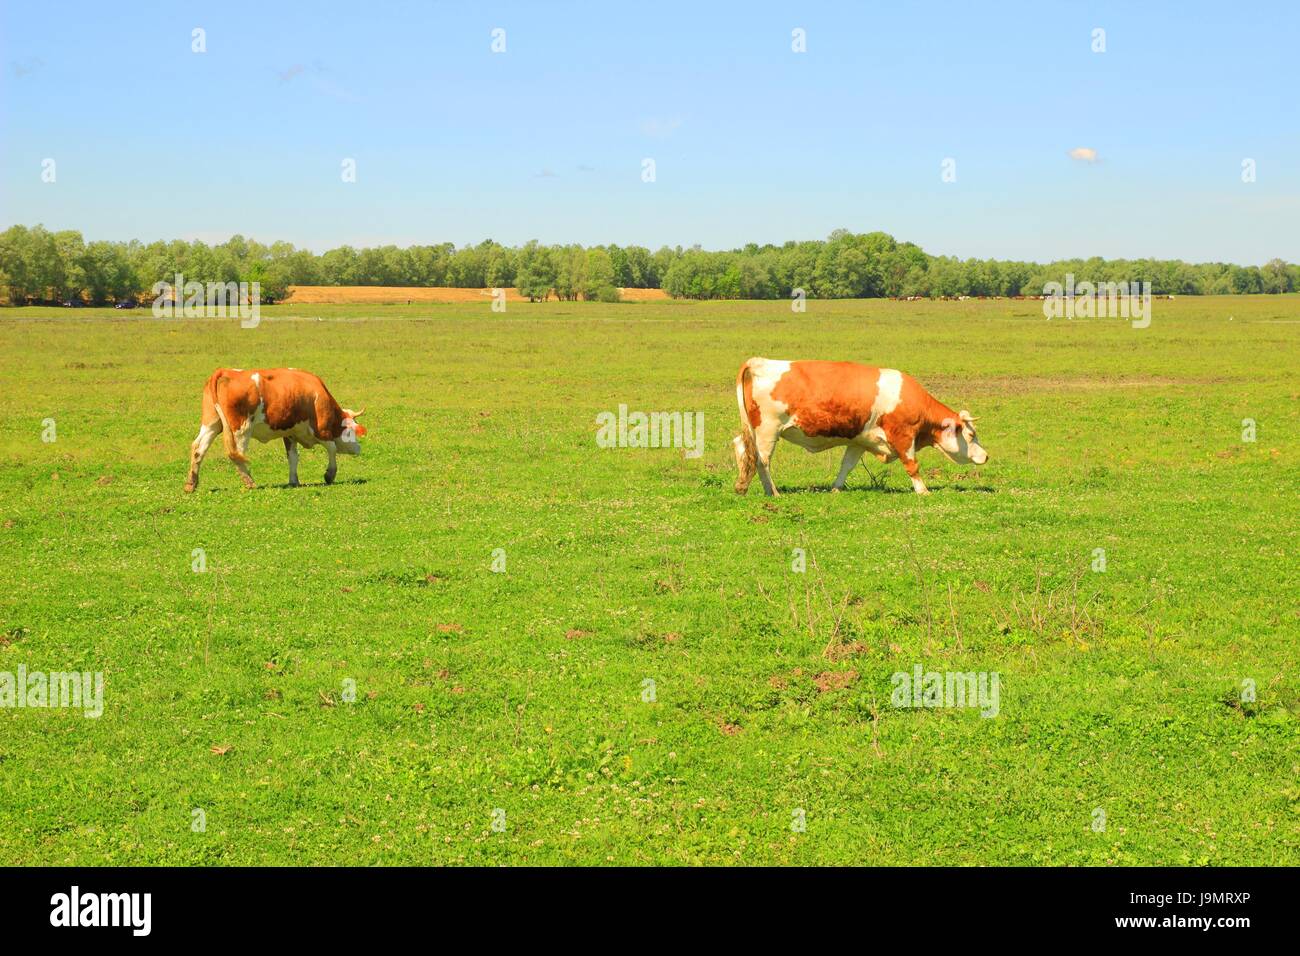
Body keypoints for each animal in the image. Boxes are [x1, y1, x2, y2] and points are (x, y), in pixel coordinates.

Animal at [184, 368, 366, 492]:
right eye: (351, 430)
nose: (359, 448)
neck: (317, 394)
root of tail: (225, 371)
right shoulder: (321, 430)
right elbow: (332, 448)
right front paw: (330, 475)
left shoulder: (290, 433)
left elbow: (293, 457)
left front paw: (294, 481)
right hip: (241, 429)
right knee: (237, 454)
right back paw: (249, 481)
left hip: (212, 424)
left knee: (198, 448)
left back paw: (191, 484)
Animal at [731, 358, 988, 497]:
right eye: (971, 434)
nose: (986, 456)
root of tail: (760, 361)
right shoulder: (903, 436)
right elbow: (912, 465)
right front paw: (923, 490)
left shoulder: (859, 441)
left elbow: (847, 466)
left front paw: (836, 488)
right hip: (768, 431)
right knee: (762, 460)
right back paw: (772, 492)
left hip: (754, 431)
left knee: (743, 449)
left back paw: (742, 487)